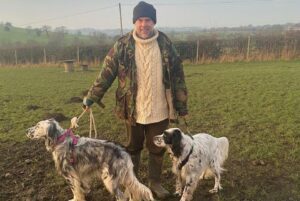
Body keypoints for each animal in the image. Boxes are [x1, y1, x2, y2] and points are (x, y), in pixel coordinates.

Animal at [26, 118, 154, 201]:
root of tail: (123, 152)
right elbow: (82, 189)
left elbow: (76, 192)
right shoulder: (79, 175)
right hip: (125, 178)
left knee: (122, 197)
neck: (59, 140)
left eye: (37, 126)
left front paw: (75, 199)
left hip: (109, 180)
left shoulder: (70, 176)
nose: (26, 131)